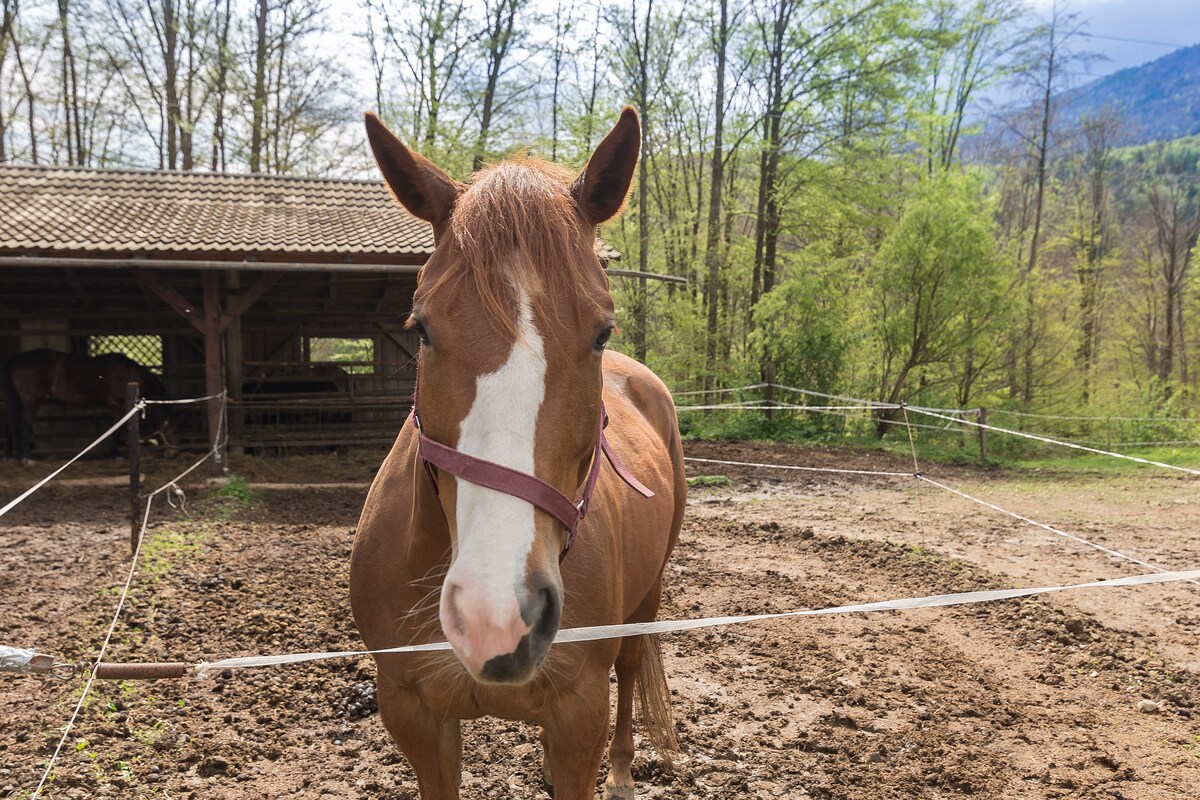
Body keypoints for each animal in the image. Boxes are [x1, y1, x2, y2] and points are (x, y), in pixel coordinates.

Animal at [1, 347, 180, 462]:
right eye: (172, 429)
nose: (173, 453)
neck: (131, 373)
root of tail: (16, 359)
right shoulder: (122, 405)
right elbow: (119, 429)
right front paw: (115, 454)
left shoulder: (115, 407)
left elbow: (115, 429)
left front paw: (112, 453)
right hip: (31, 400)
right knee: (23, 424)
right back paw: (27, 457)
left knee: (10, 424)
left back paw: (12, 455)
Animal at [350, 107, 686, 800]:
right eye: (421, 328)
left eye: (602, 331)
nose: (497, 611)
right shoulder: (413, 713)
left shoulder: (580, 712)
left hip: (645, 600)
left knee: (632, 666)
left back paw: (622, 772)